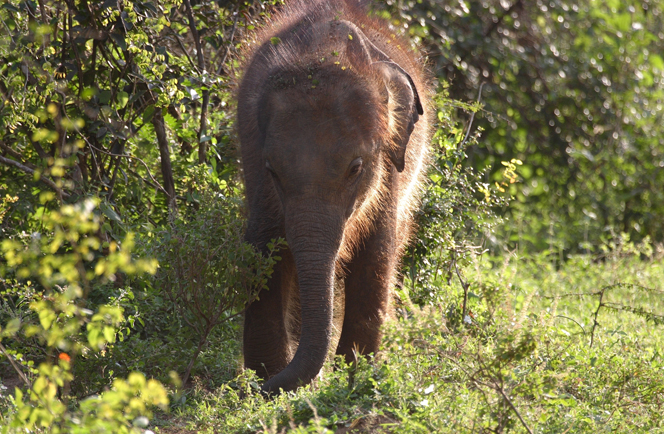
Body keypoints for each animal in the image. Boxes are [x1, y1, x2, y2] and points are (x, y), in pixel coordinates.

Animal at [236, 0, 434, 394]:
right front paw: (267, 375)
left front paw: (354, 377)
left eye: (355, 168)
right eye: (272, 171)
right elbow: (264, 245)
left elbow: (377, 252)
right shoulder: (254, 160)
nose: (249, 388)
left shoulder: (390, 167)